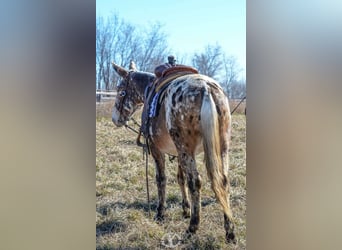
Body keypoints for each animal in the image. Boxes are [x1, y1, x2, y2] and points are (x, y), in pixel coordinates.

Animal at [111, 61, 236, 243]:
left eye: (120, 91)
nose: (115, 118)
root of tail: (206, 89)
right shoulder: (179, 154)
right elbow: (180, 178)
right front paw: (185, 209)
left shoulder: (156, 149)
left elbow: (161, 179)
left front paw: (160, 213)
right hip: (220, 147)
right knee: (223, 181)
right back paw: (230, 232)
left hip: (186, 148)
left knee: (195, 182)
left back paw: (192, 228)